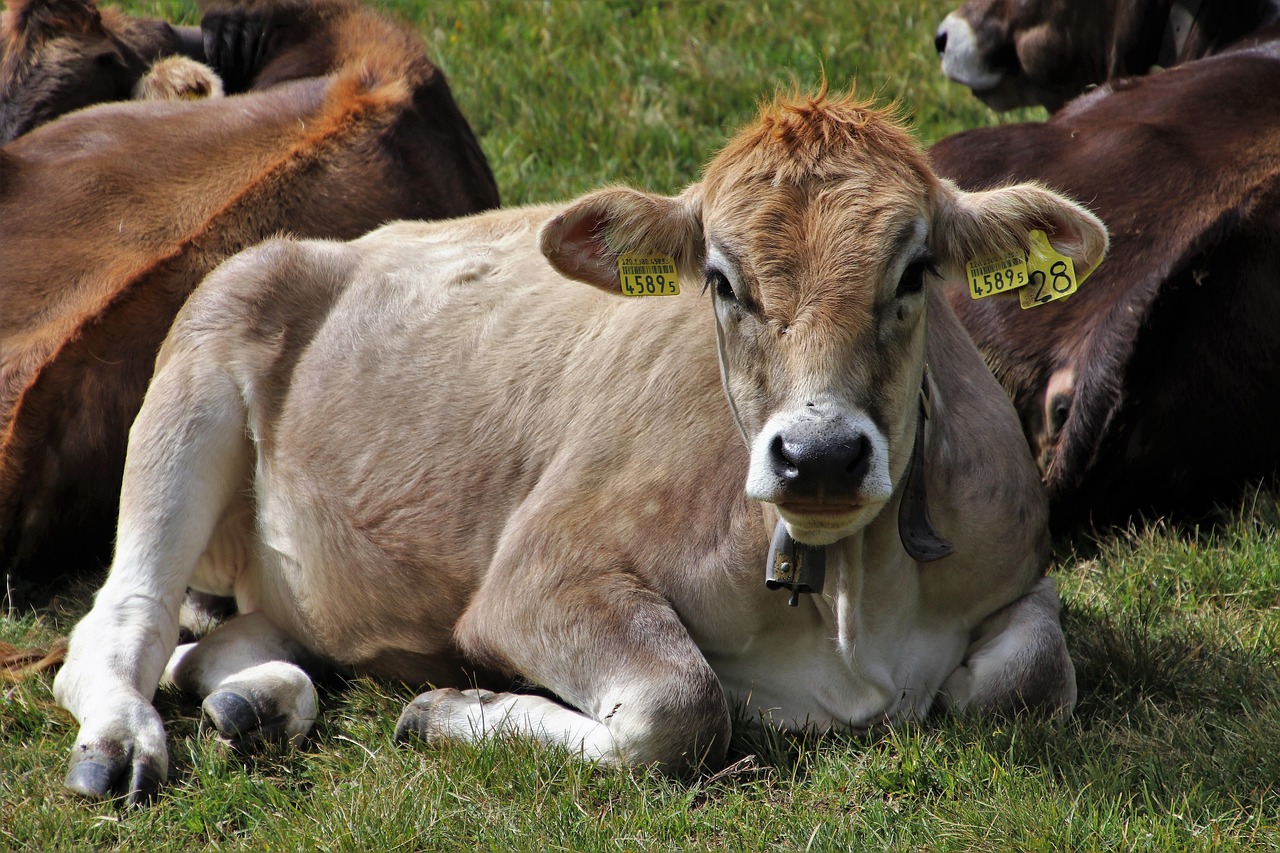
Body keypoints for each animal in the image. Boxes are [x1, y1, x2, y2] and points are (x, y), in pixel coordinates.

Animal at [52, 87, 1106, 805]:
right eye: (721, 279)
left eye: (916, 269)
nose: (820, 455)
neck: (847, 603)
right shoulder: (537, 574)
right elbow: (680, 706)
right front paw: (454, 710)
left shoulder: (1023, 570)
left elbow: (1027, 678)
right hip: (198, 367)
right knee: (121, 622)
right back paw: (123, 744)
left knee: (222, 648)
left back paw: (258, 704)